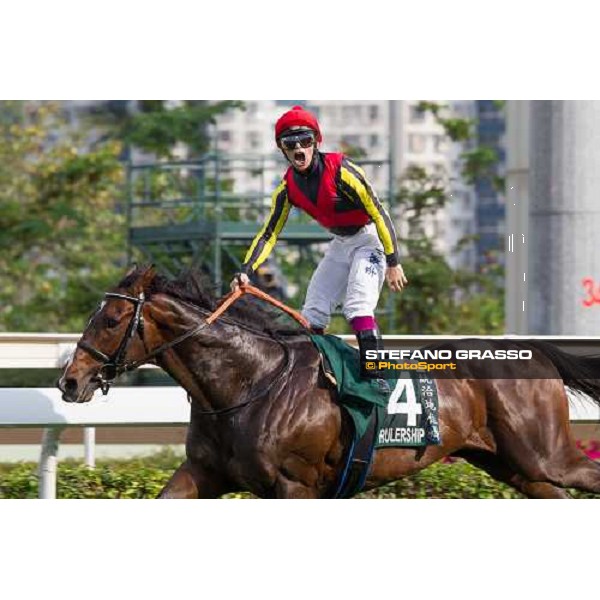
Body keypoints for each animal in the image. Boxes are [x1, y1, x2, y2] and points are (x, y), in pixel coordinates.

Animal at [57, 266, 600, 496]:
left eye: (110, 320)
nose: (69, 381)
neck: (247, 383)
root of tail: (535, 350)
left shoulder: (295, 485)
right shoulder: (203, 474)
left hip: (545, 454)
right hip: (514, 466)